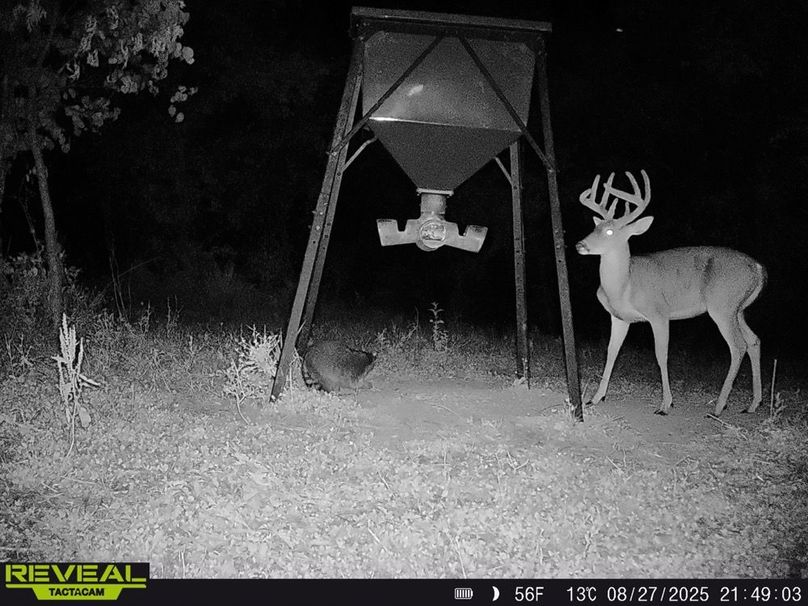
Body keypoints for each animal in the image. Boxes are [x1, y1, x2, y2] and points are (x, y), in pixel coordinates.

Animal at [575, 170, 767, 416]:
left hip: (722, 306)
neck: (624, 285)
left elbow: (661, 355)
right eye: (594, 228)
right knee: (754, 341)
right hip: (738, 309)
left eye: (609, 231)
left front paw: (665, 404)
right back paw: (752, 404)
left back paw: (719, 406)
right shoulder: (620, 318)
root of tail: (758, 268)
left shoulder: (659, 313)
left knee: (738, 346)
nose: (580, 245)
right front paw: (596, 398)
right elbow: (611, 352)